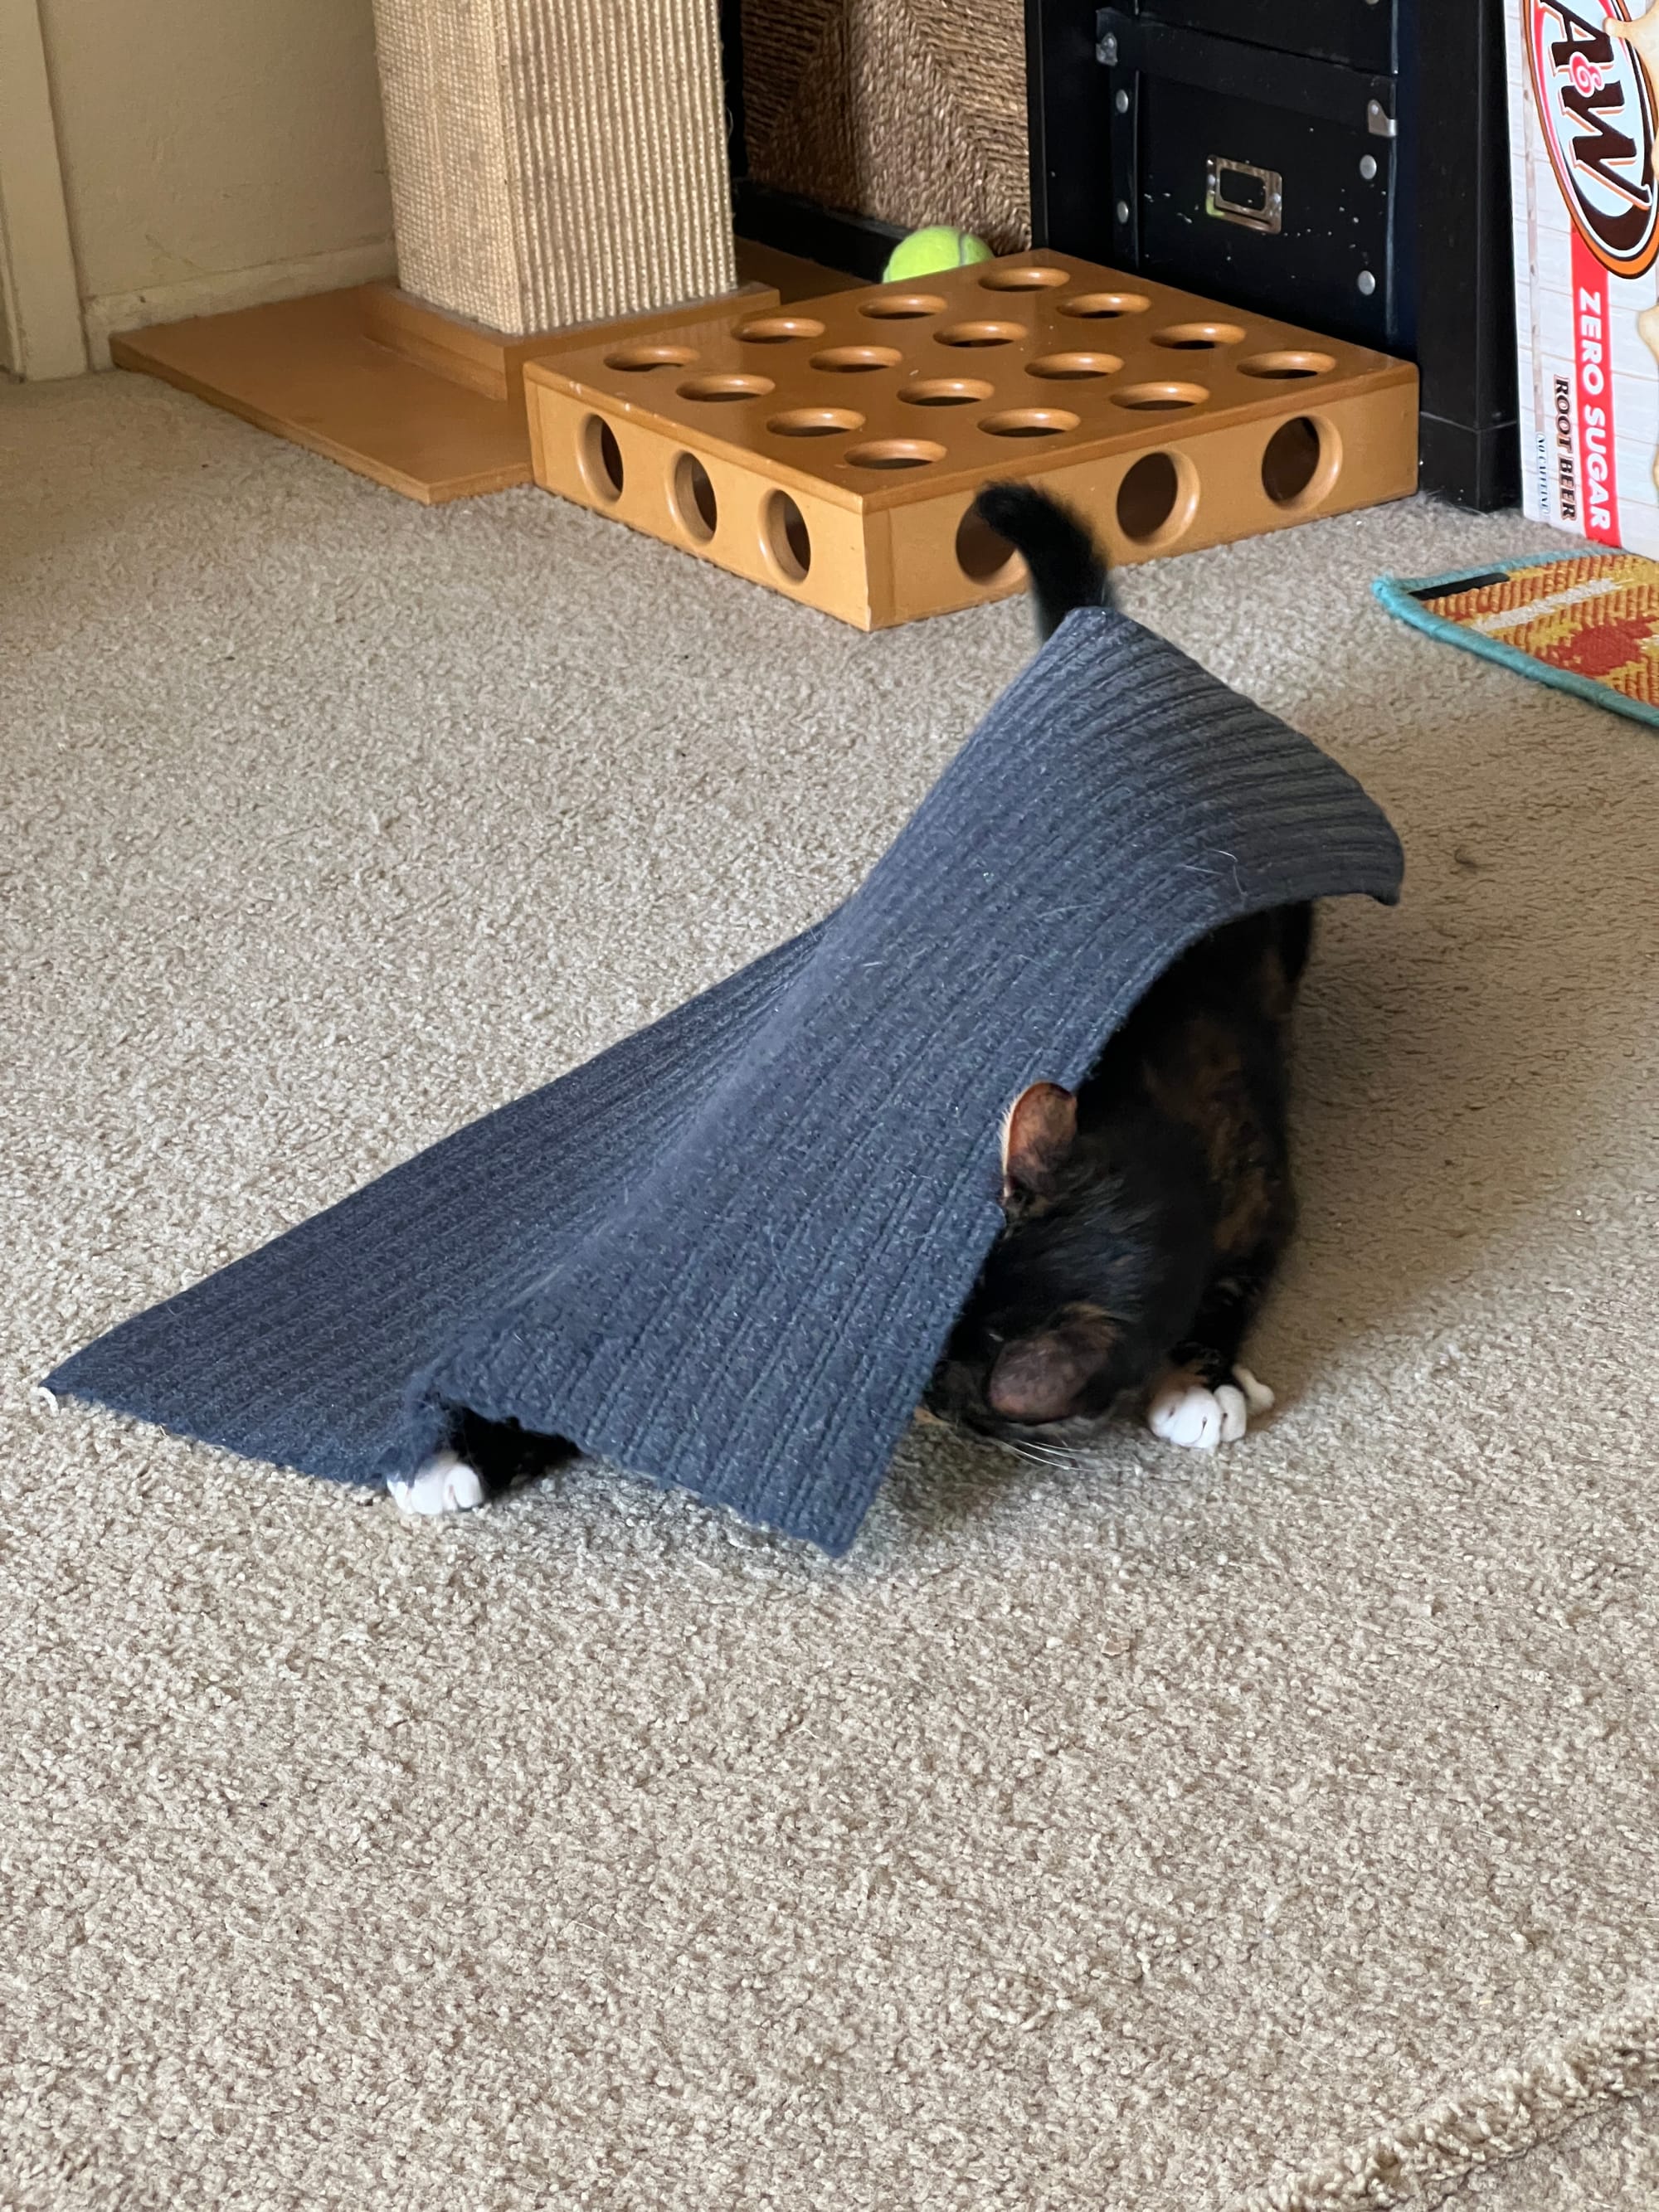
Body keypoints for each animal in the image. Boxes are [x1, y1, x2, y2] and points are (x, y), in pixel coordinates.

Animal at [393, 489, 1309, 1521]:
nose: (925, 1409)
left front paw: (1202, 1383)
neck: (1155, 1133)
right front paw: (468, 1445)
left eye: (949, 1385)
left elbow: (1232, 1288)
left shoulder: (1259, 1194)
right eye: (920, 1347)